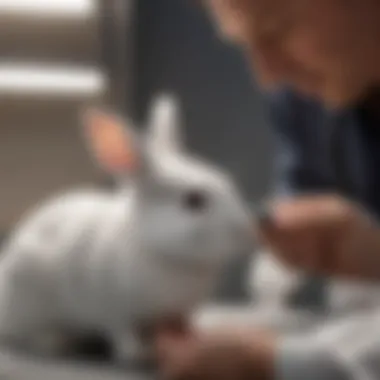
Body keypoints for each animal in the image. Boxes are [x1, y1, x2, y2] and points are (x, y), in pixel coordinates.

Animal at [0, 94, 255, 362]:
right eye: (194, 201)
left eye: (226, 181)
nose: (247, 233)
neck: (165, 255)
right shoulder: (115, 310)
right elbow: (122, 333)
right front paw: (137, 354)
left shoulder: (179, 313)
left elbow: (184, 325)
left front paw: (195, 338)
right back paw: (59, 342)